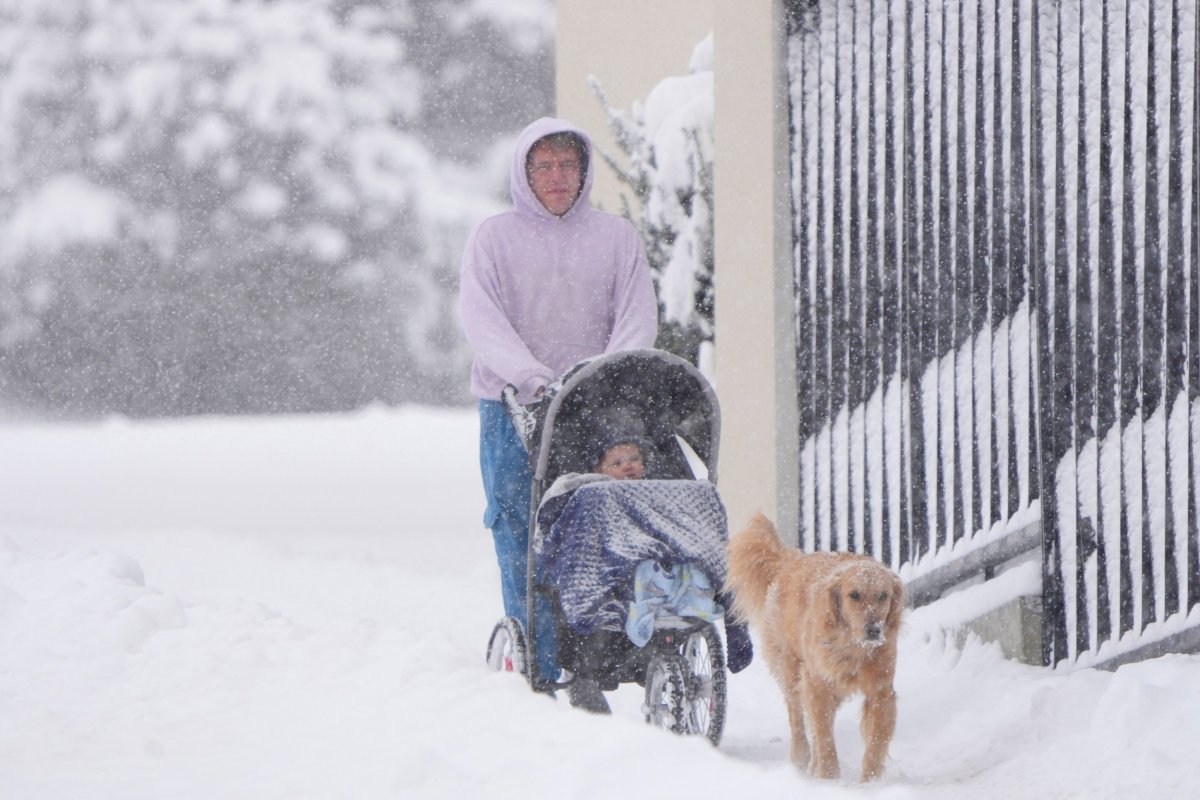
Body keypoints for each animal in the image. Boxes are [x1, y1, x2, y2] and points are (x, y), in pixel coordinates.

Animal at [720, 513, 902, 782]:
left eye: (883, 596)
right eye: (854, 595)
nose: (873, 630)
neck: (851, 648)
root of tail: (790, 560)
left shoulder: (880, 690)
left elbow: (876, 741)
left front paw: (869, 782)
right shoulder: (817, 684)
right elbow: (823, 734)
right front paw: (829, 776)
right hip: (791, 670)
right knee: (797, 717)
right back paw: (801, 757)